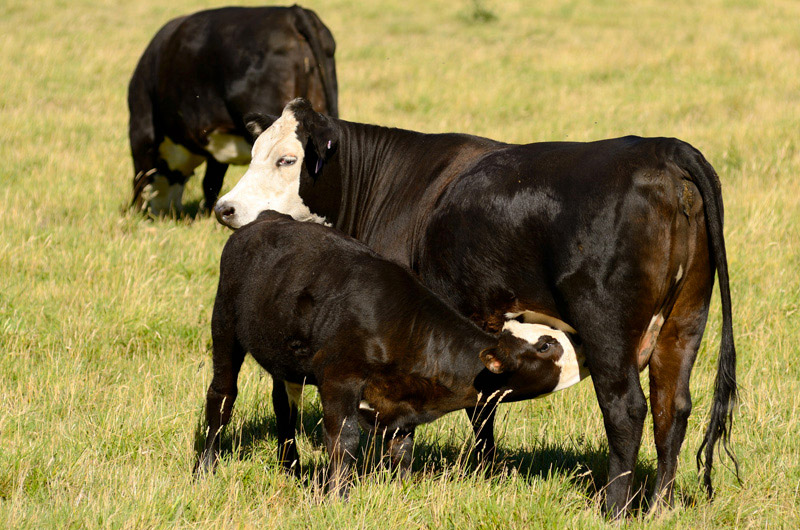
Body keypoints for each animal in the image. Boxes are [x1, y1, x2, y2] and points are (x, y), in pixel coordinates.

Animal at [127, 4, 338, 214]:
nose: (161, 213)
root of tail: (291, 12)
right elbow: (211, 183)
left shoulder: (141, 131)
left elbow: (141, 177)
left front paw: (136, 213)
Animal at [194, 209, 580, 496]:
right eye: (546, 345)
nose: (580, 342)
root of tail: (268, 218)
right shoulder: (338, 379)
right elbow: (344, 440)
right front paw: (337, 497)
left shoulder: (402, 409)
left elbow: (403, 451)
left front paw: (404, 490)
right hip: (224, 325)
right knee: (222, 397)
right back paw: (205, 470)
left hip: (284, 357)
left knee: (284, 408)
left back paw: (292, 467)